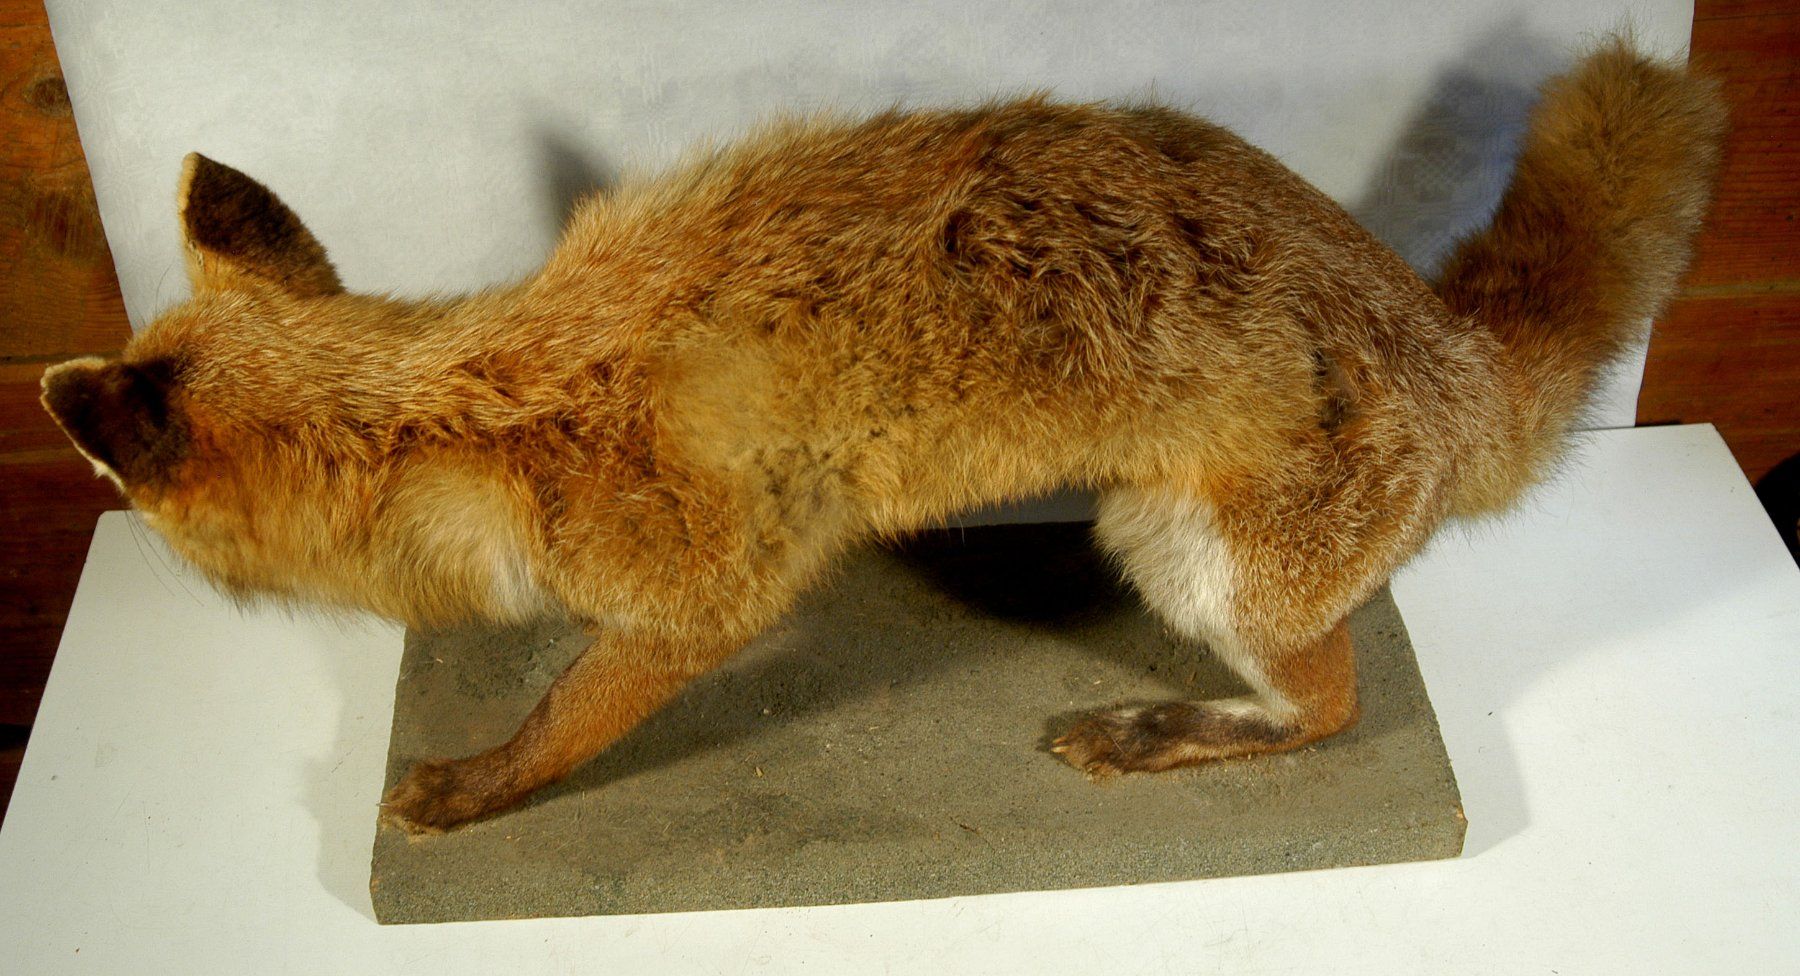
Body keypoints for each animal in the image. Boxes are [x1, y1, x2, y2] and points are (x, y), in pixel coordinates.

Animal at [41, 41, 1723, 832]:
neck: (486, 408)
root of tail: (1442, 338)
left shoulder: (699, 593)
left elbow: (572, 717)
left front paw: (479, 788)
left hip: (1191, 563)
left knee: (1338, 705)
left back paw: (1171, 733)